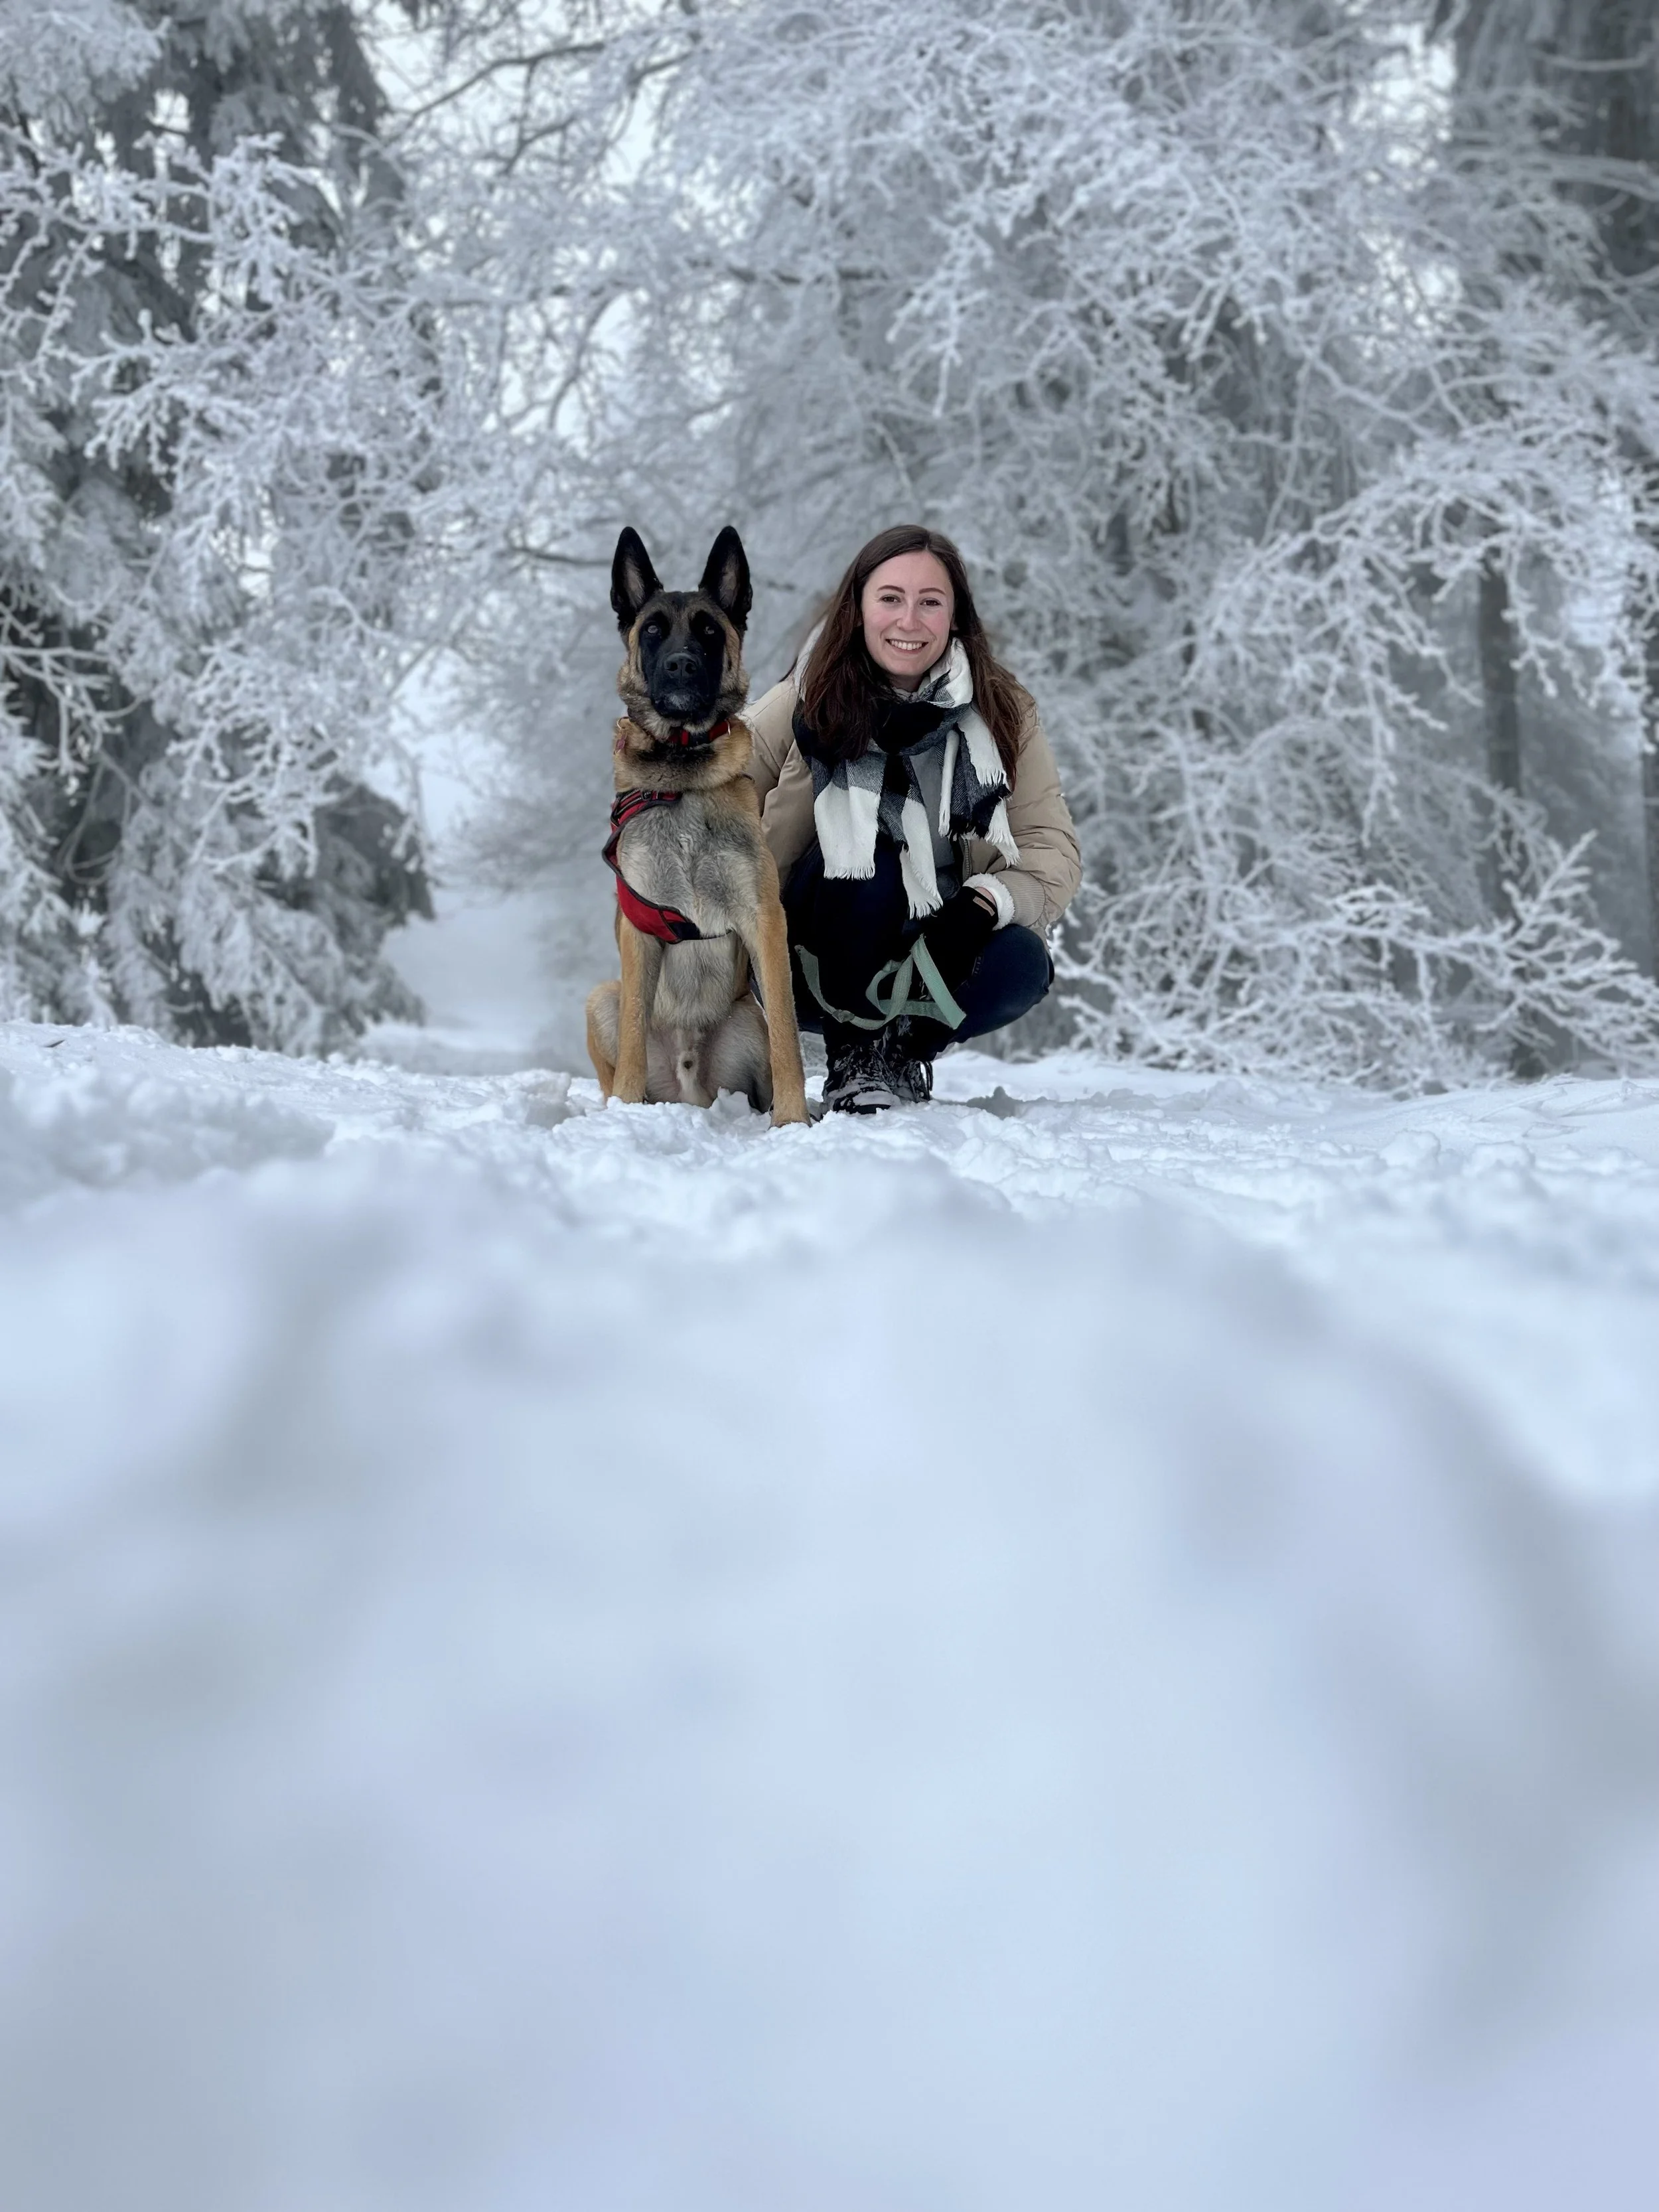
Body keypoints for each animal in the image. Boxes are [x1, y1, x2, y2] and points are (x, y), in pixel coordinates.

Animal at [585, 525, 808, 1126]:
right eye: (653, 631)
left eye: (709, 630)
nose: (682, 665)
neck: (682, 771)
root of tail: (690, 1089)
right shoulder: (639, 928)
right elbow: (634, 1035)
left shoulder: (765, 920)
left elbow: (788, 1036)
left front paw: (794, 1122)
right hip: (601, 995)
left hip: (746, 1017)